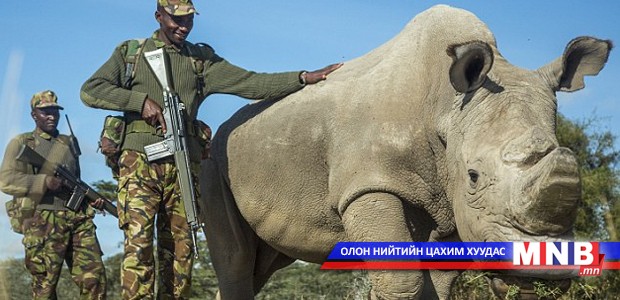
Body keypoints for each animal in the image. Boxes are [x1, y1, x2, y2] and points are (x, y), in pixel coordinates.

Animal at [199, 4, 612, 300]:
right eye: (474, 177)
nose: (544, 268)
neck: (445, 106)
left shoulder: (447, 197)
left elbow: (441, 283)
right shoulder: (368, 184)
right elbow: (402, 280)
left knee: (263, 263)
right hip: (214, 161)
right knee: (236, 260)